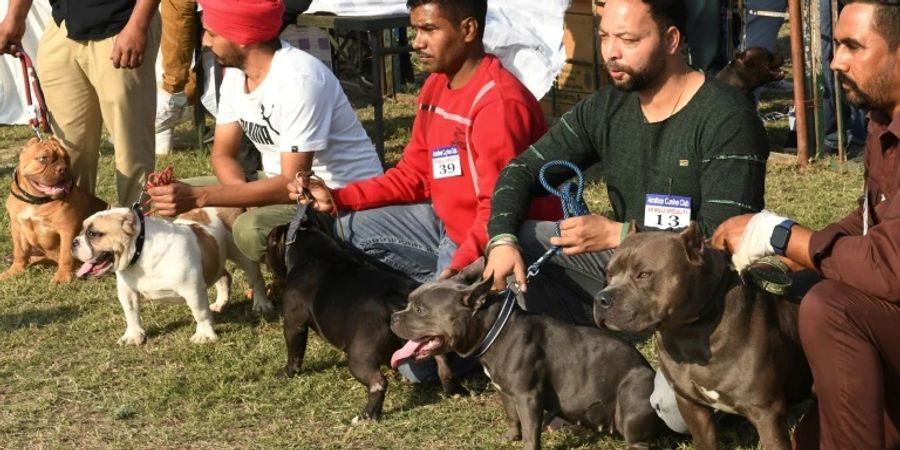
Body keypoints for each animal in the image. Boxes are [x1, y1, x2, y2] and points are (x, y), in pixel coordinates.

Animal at [1, 138, 108, 284]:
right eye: (43, 158)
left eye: (67, 158)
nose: (63, 169)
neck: (36, 201)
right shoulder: (18, 228)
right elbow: (20, 252)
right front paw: (15, 270)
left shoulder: (67, 230)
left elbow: (65, 255)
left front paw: (62, 277)